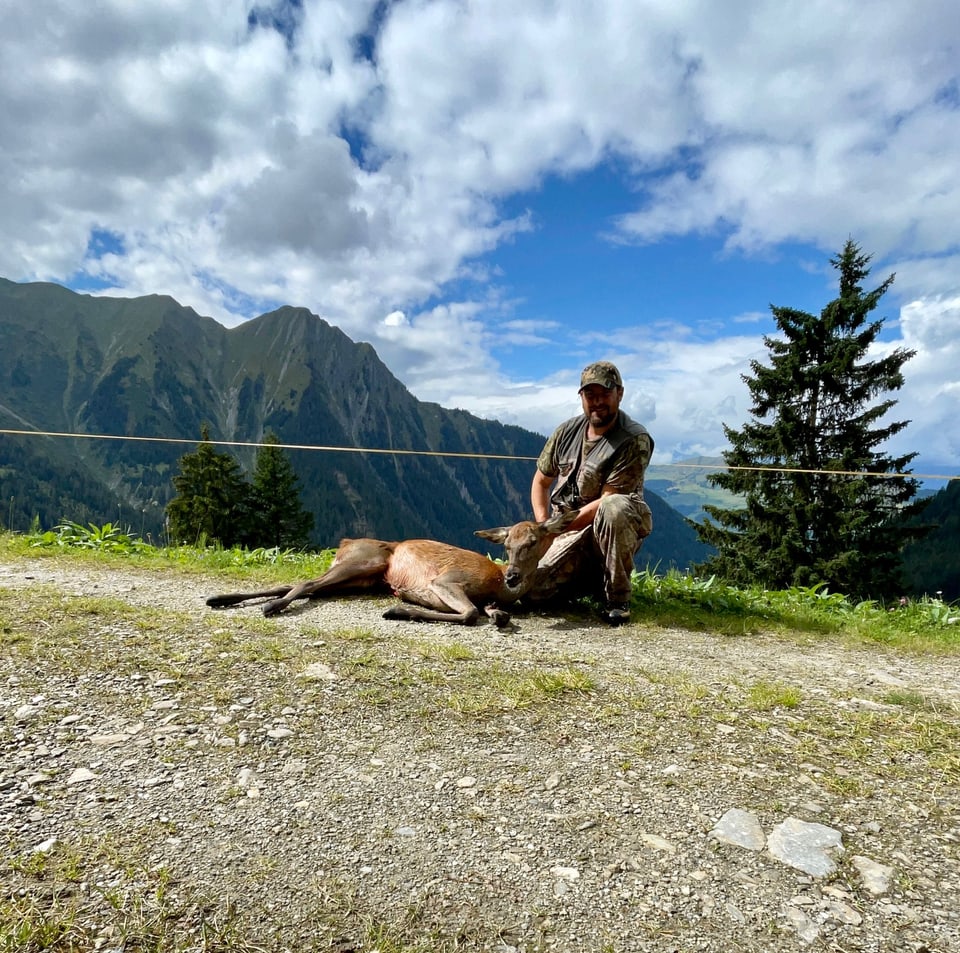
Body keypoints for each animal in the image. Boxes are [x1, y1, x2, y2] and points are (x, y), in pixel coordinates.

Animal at [205, 510, 576, 628]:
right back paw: (270, 607)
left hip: (363, 579)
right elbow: (471, 613)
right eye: (507, 545)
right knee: (306, 581)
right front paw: (400, 610)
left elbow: (493, 613)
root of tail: (345, 541)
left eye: (533, 541)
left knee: (301, 584)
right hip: (364, 561)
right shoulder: (447, 580)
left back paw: (221, 598)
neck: (495, 584)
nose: (513, 575)